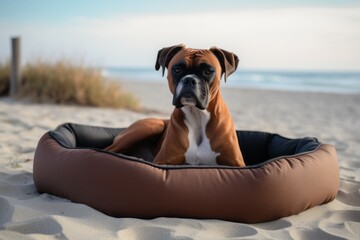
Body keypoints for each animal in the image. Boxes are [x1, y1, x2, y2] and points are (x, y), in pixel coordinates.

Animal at [104, 44, 245, 167]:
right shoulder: (163, 161)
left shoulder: (237, 164)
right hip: (151, 126)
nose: (189, 79)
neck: (197, 115)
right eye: (177, 69)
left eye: (208, 71)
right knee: (107, 150)